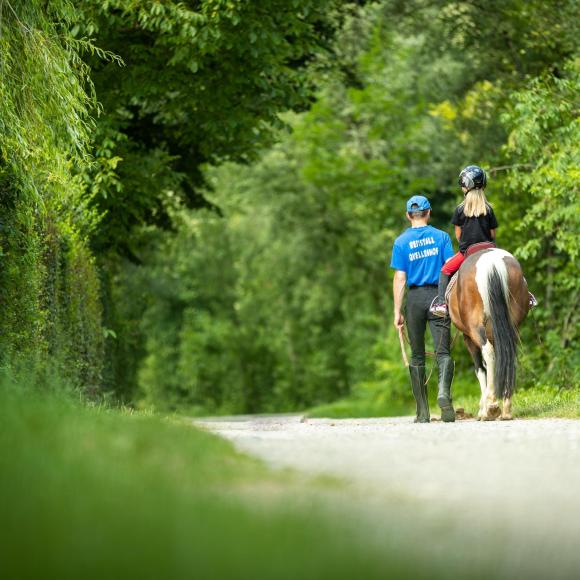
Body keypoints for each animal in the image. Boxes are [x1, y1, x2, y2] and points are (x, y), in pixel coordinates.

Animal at [448, 247, 532, 420]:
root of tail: (492, 263)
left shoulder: (469, 338)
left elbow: (480, 369)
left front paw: (483, 408)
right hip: (511, 326)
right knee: (508, 355)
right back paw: (506, 409)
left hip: (476, 330)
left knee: (489, 355)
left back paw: (491, 406)